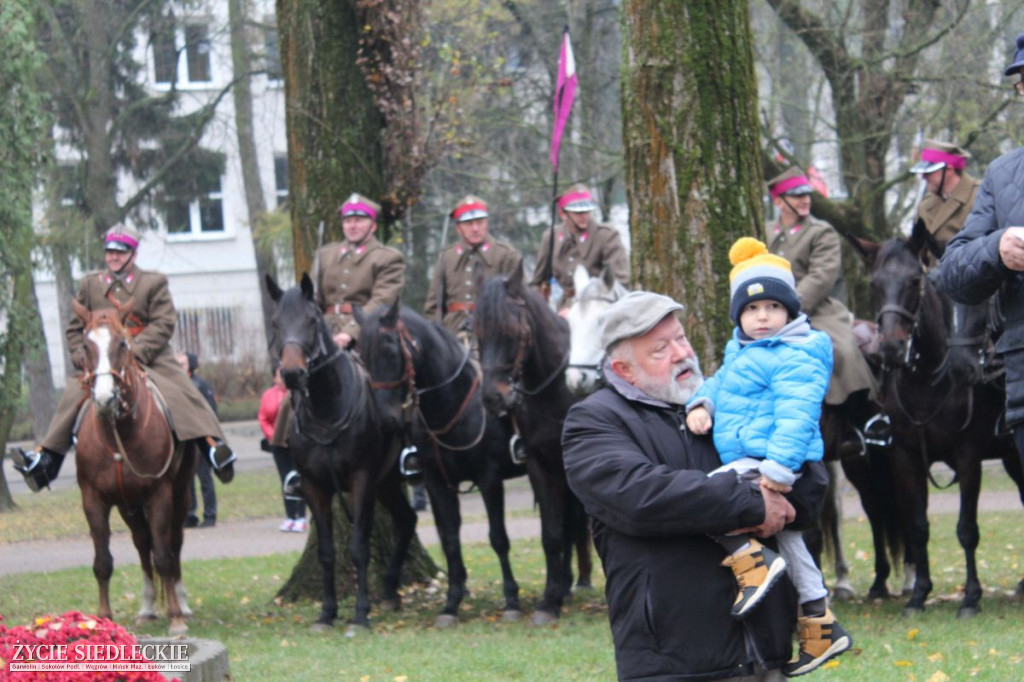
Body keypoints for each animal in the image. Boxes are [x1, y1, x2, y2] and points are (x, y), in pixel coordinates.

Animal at [70, 296, 197, 630]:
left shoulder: (159, 494)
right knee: (142, 543)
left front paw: (176, 618)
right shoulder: (93, 499)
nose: (104, 399)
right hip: (128, 505)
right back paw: (147, 606)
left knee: (174, 541)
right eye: (86, 345)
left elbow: (164, 555)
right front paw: (103, 617)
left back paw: (181, 602)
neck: (118, 435)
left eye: (123, 343)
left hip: (180, 492)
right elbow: (102, 562)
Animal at [270, 272, 421, 630]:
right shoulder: (314, 486)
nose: (292, 374)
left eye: (312, 321)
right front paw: (327, 612)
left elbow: (358, 547)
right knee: (407, 519)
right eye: (275, 323)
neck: (327, 409)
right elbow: (327, 551)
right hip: (387, 483)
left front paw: (360, 614)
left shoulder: (362, 480)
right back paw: (390, 590)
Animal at [356, 301, 528, 622]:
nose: (387, 419)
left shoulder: (489, 478)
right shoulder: (437, 482)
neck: (453, 403)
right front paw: (452, 603)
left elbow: (498, 537)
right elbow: (449, 539)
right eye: (362, 355)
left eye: (390, 351)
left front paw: (511, 599)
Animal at [468, 262, 589, 622]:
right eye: (477, 330)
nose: (493, 398)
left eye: (512, 330)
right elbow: (551, 534)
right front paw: (550, 601)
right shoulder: (539, 464)